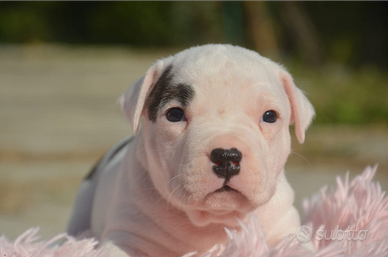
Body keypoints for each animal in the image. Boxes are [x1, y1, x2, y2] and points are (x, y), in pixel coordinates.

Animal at [67, 44, 316, 256]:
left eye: (270, 116)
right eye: (175, 114)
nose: (227, 156)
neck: (214, 220)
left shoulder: (285, 231)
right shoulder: (128, 236)